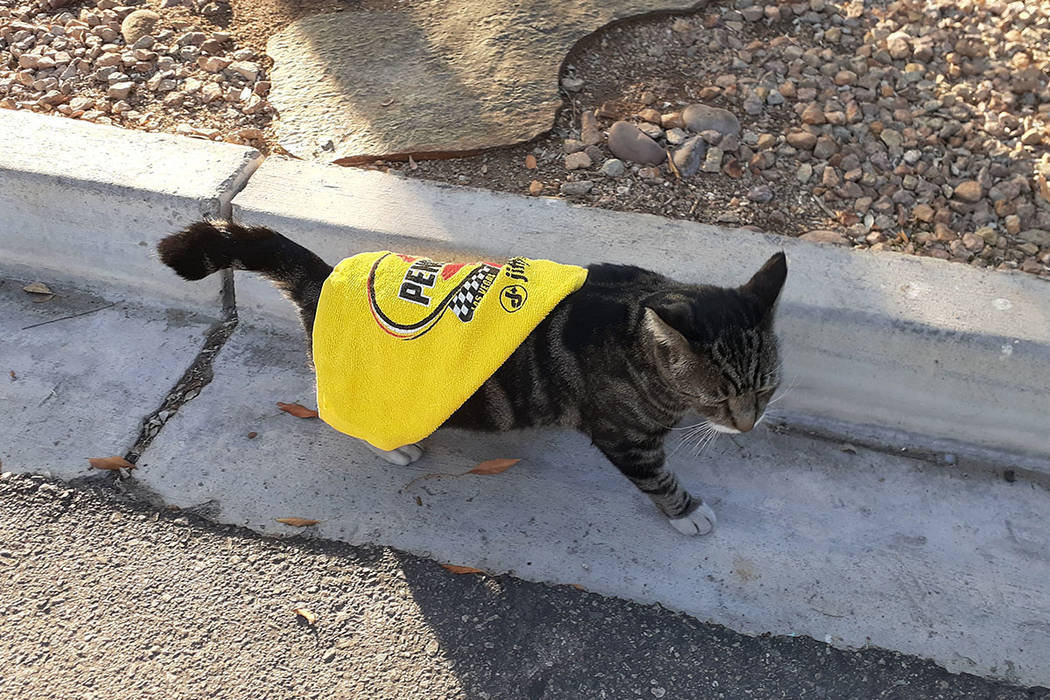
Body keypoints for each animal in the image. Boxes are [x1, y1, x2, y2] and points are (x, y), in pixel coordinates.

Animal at [159, 221, 789, 541]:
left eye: (766, 389)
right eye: (721, 396)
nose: (749, 425)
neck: (637, 323)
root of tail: (325, 277)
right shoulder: (626, 437)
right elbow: (658, 478)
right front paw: (687, 511)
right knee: (345, 416)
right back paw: (395, 448)